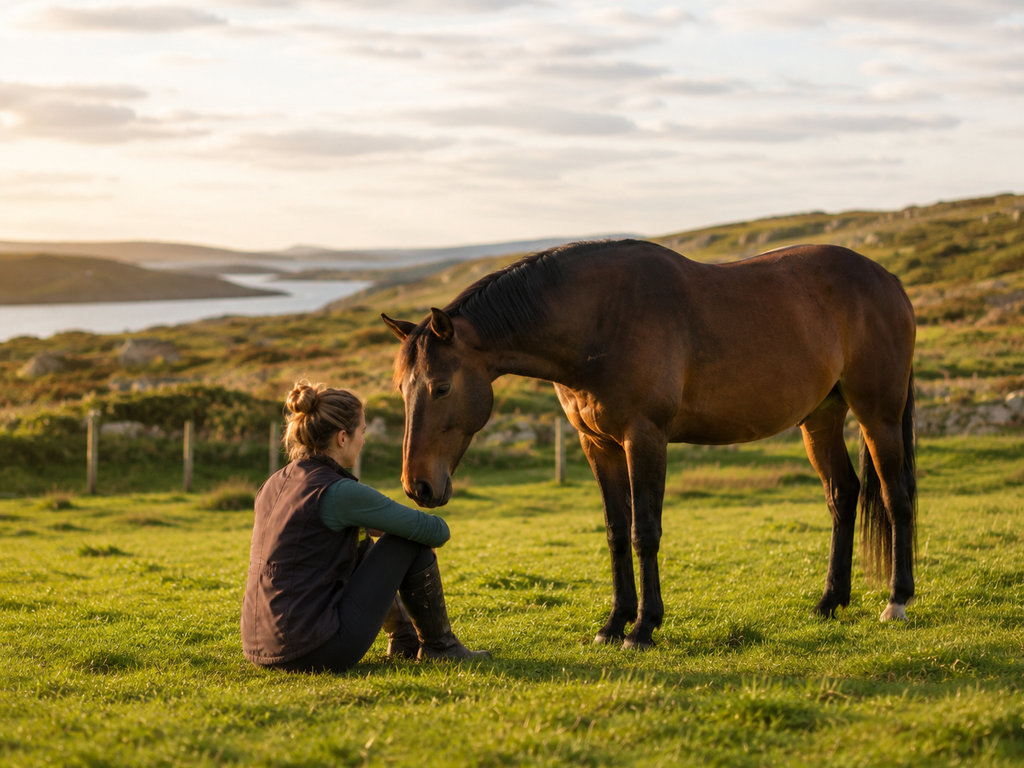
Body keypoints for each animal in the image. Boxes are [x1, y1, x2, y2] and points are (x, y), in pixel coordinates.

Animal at [381, 239, 917, 649]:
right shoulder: (597, 445)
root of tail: (887, 279)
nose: (417, 486)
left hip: (878, 414)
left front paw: (643, 628)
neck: (599, 322)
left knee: (897, 498)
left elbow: (645, 532)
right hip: (820, 417)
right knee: (843, 495)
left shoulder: (645, 438)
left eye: (441, 387)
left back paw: (898, 600)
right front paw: (613, 624)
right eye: (401, 388)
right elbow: (617, 532)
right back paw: (830, 601)